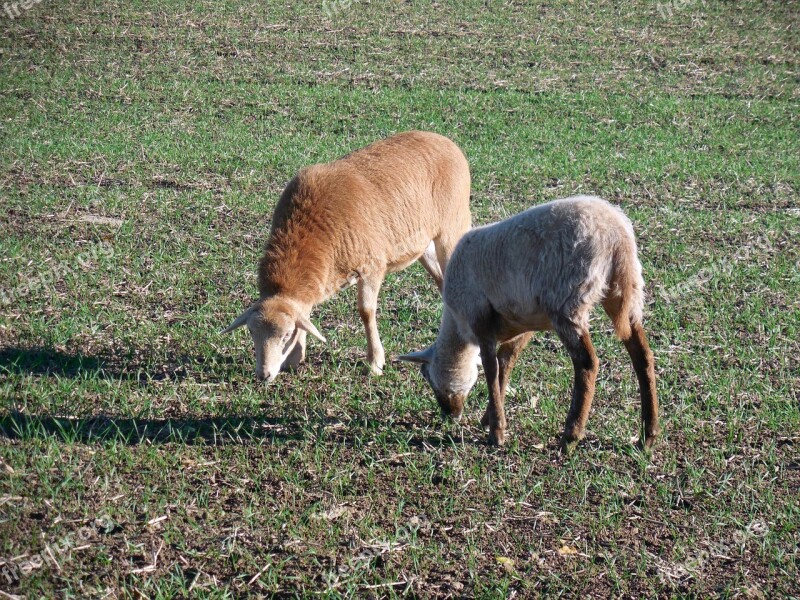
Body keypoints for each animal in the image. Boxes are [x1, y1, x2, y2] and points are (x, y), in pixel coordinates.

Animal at [222, 133, 472, 382]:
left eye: (285, 335)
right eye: (251, 332)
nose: (263, 375)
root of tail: (444, 140)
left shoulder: (372, 265)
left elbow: (366, 312)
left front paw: (375, 362)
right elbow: (306, 314)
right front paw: (295, 358)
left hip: (453, 227)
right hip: (424, 243)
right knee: (443, 282)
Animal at [396, 197, 660, 450]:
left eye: (428, 378)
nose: (449, 415)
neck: (458, 328)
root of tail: (617, 237)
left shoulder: (479, 315)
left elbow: (491, 368)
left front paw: (496, 433)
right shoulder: (523, 322)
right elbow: (505, 362)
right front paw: (489, 417)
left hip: (567, 301)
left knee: (587, 363)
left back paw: (571, 436)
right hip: (626, 293)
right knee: (642, 356)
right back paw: (647, 435)